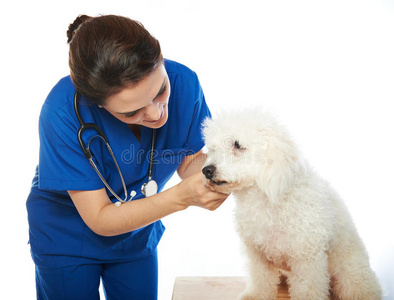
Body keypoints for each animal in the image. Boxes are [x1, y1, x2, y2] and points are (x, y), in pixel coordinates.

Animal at [203, 109, 382, 300]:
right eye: (212, 149)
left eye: (237, 145)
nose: (206, 171)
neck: (266, 198)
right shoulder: (258, 255)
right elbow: (260, 280)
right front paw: (255, 295)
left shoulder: (307, 259)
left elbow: (308, 289)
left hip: (350, 275)